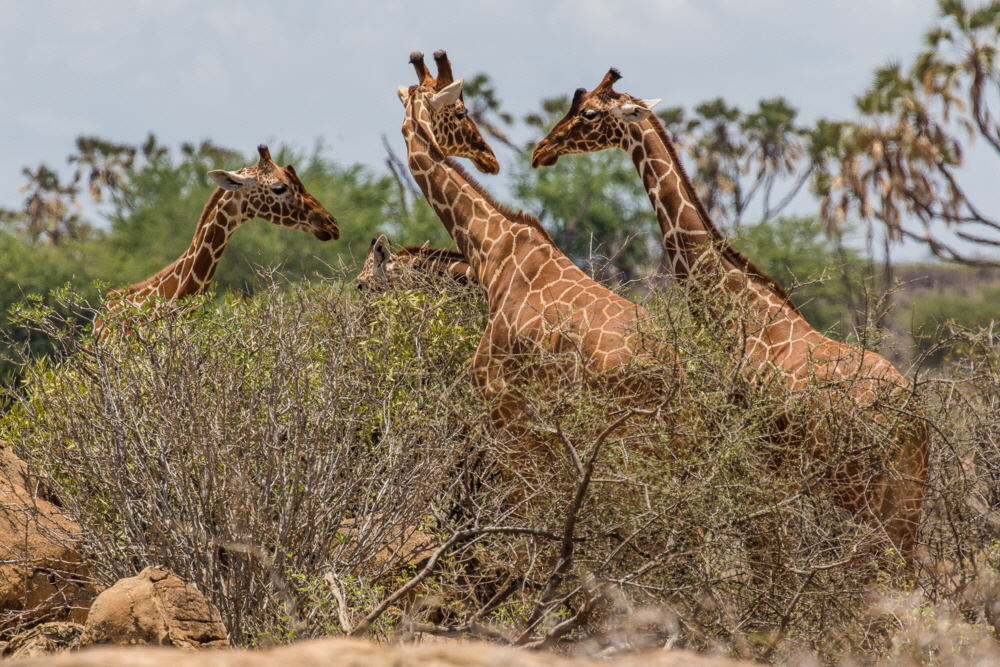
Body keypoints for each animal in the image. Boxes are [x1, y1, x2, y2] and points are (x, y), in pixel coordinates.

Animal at [532, 69, 928, 568]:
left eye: (587, 113)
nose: (541, 149)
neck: (742, 313)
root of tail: (913, 419)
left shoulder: (752, 451)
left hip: (861, 486)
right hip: (905, 494)